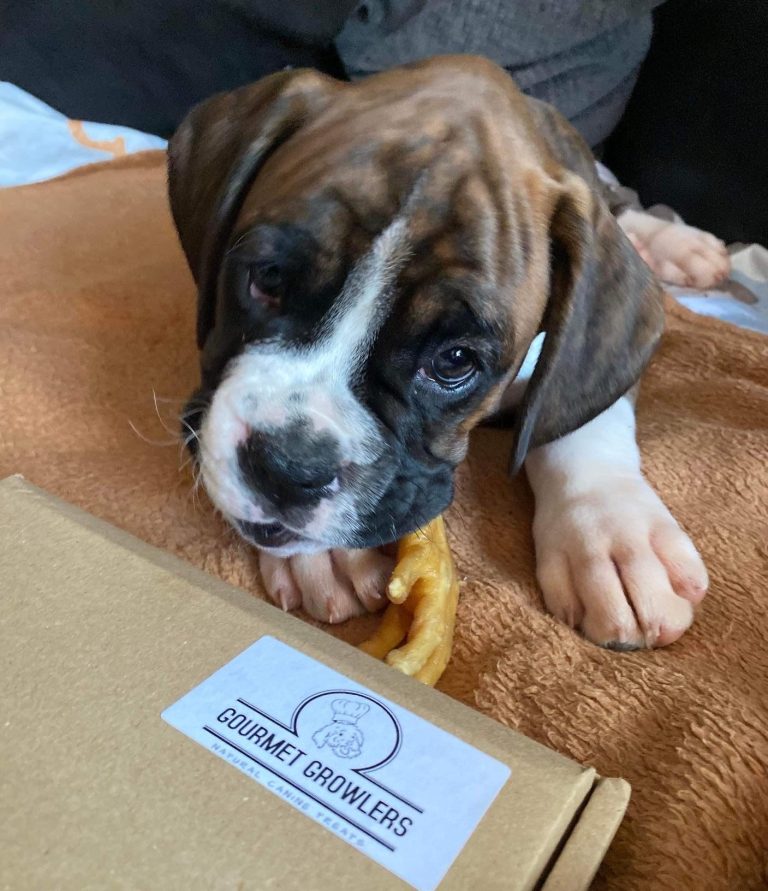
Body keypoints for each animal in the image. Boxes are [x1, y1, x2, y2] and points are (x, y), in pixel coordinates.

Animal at [168, 57, 720, 656]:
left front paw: (614, 533)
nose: (292, 470)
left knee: (618, 203)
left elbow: (582, 420)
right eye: (267, 280)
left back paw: (677, 244)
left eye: (455, 361)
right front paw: (324, 557)